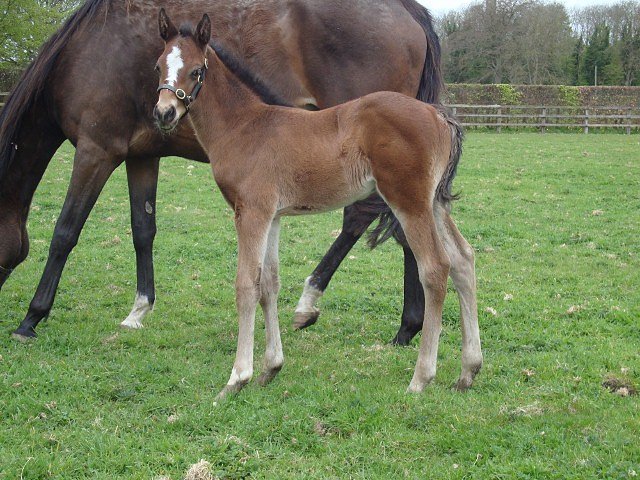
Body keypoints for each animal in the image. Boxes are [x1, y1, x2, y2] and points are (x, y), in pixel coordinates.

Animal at [0, 0, 442, 344]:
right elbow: (143, 230)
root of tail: (409, 11)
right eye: (156, 66)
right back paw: (408, 329)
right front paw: (138, 311)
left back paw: (310, 303)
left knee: (364, 218)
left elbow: (65, 232)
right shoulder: (141, 155)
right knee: (407, 227)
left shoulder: (97, 150)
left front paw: (30, 318)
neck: (87, 51)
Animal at [152, 10, 480, 398]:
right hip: (434, 203)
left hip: (408, 201)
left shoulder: (251, 211)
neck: (245, 126)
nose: (164, 113)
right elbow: (269, 284)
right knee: (463, 260)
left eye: (196, 71)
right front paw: (271, 368)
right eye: (158, 66)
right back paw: (468, 370)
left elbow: (246, 284)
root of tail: (439, 116)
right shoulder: (273, 215)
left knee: (435, 267)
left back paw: (421, 378)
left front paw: (237, 378)